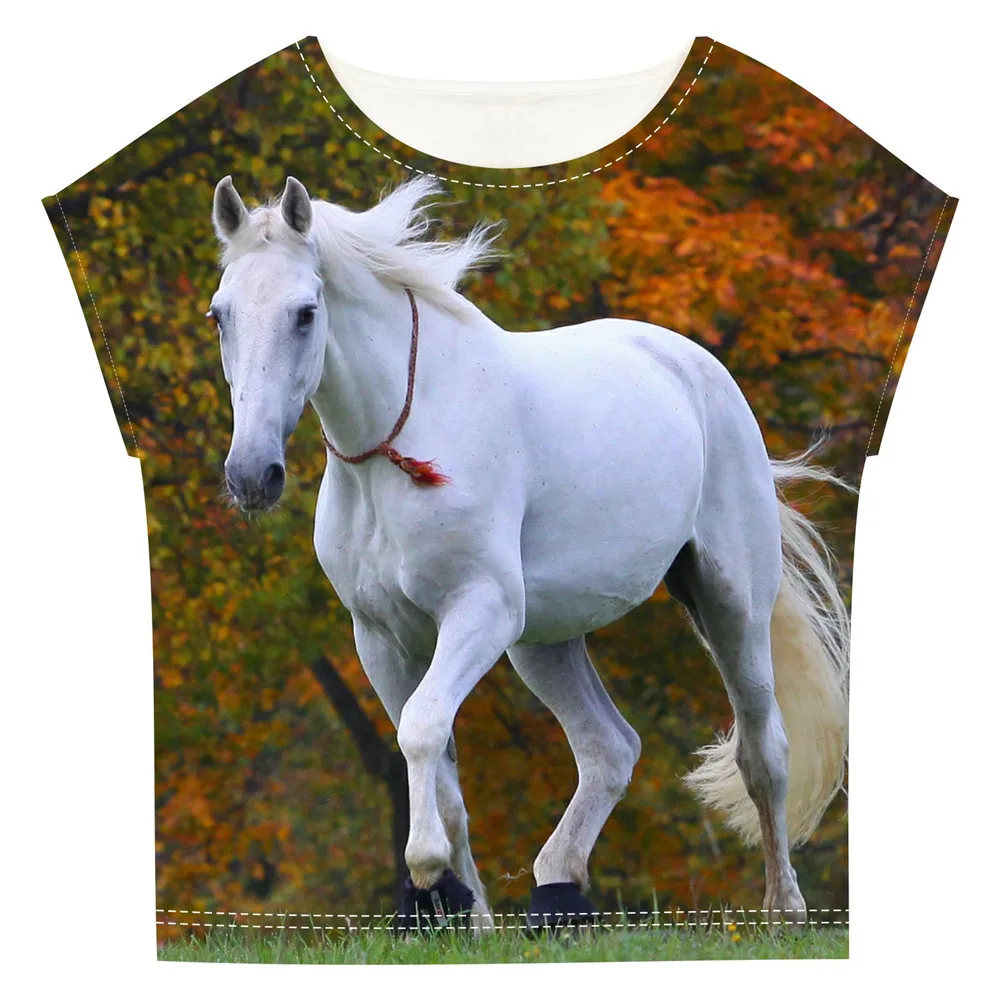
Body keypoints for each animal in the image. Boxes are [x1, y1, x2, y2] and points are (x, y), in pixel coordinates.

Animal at [209, 173, 850, 930]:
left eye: (306, 313)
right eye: (220, 315)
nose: (252, 476)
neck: (400, 443)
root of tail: (698, 368)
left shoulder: (479, 611)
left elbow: (422, 729)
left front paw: (426, 875)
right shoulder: (381, 637)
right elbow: (442, 770)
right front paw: (465, 916)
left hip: (730, 605)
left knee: (763, 749)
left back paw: (783, 909)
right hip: (545, 641)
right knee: (608, 749)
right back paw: (558, 894)